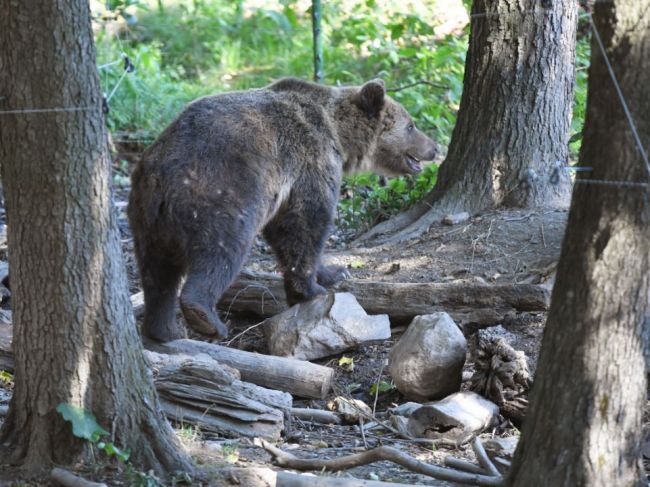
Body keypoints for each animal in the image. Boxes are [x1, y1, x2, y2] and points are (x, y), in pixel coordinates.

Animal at [126, 77, 436, 344]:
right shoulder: (309, 161)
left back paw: (164, 329)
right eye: (411, 125)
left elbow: (286, 231)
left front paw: (334, 272)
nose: (433, 148)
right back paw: (206, 317)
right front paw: (310, 289)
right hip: (218, 194)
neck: (339, 134)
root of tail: (160, 173)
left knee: (157, 275)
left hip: (146, 217)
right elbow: (304, 225)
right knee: (221, 251)